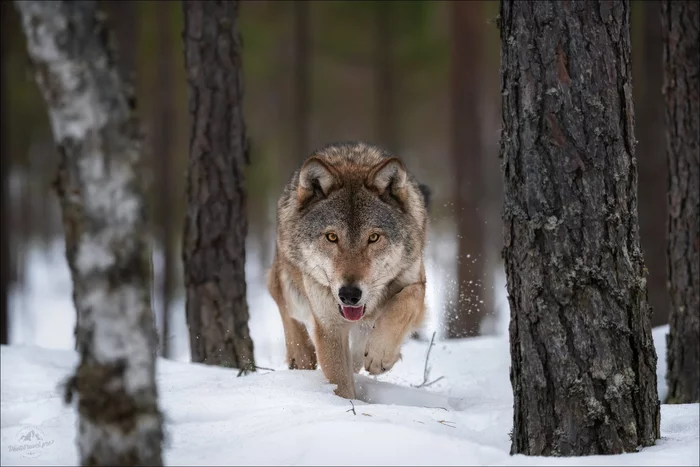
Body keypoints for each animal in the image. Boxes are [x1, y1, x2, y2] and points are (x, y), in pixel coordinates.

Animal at [266, 142, 430, 398]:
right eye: (332, 237)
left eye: (373, 238)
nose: (349, 295)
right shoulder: (329, 326)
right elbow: (341, 383)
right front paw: (347, 404)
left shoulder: (416, 281)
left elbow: (404, 303)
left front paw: (380, 355)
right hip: (291, 287)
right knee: (282, 301)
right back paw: (300, 354)